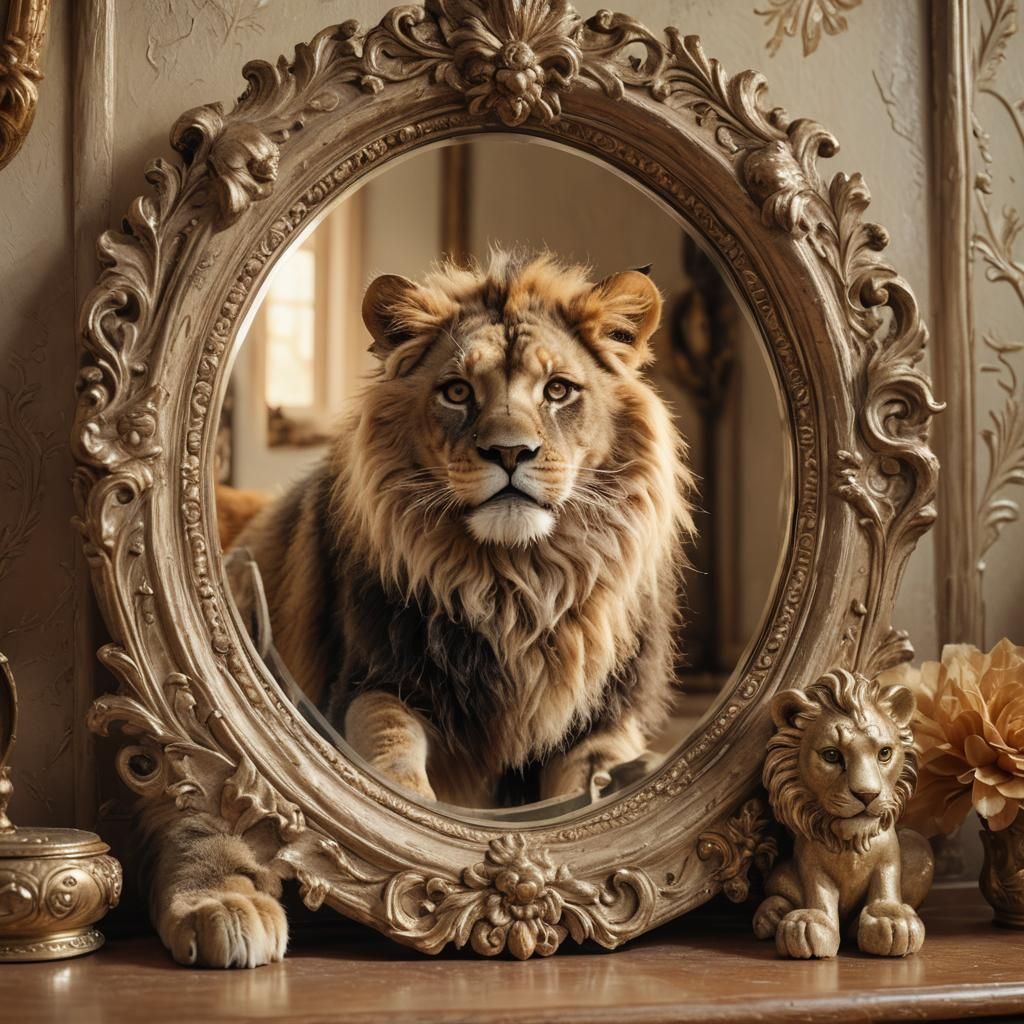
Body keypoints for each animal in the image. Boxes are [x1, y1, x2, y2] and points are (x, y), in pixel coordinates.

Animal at [150, 249, 693, 967]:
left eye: (558, 391)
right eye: (457, 392)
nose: (510, 452)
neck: (515, 587)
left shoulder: (605, 721)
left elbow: (591, 792)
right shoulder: (371, 681)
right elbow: (388, 744)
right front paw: (407, 829)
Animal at [753, 670, 934, 959]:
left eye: (885, 753)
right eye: (831, 755)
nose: (867, 795)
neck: (851, 843)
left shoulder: (889, 857)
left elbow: (886, 883)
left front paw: (892, 920)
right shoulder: (811, 863)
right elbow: (819, 893)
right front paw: (808, 924)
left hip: (918, 846)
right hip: (780, 872)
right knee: (776, 892)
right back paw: (771, 916)